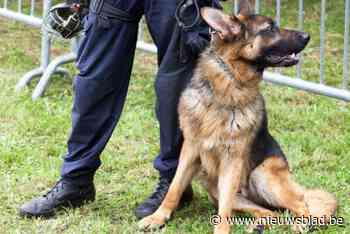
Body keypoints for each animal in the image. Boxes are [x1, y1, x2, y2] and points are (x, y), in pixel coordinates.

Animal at [138, 2, 338, 234]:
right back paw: (257, 225)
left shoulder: (232, 161)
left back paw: (302, 224)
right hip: (214, 185)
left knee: (300, 204)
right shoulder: (190, 151)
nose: (308, 35)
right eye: (270, 28)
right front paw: (157, 217)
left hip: (261, 174)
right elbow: (174, 187)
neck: (229, 83)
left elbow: (224, 212)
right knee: (269, 212)